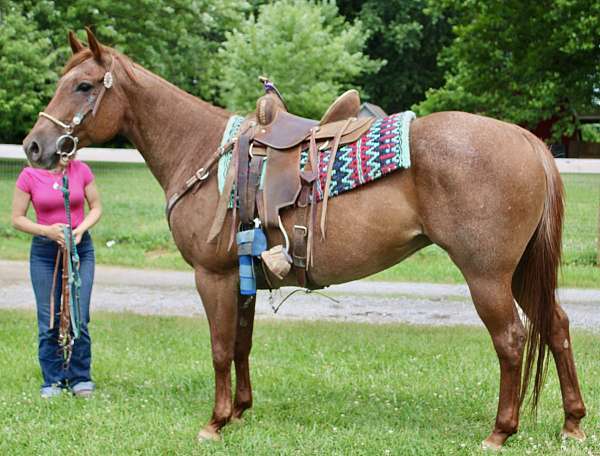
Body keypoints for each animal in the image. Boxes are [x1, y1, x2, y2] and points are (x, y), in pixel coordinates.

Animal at [23, 30, 584, 450]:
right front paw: (240, 412)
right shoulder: (242, 277)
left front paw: (214, 422)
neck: (201, 151)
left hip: (487, 274)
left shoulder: (213, 276)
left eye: (84, 86)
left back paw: (500, 432)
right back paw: (572, 423)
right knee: (555, 326)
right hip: (519, 271)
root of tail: (528, 140)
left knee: (511, 339)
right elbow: (242, 343)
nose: (34, 146)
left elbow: (220, 348)